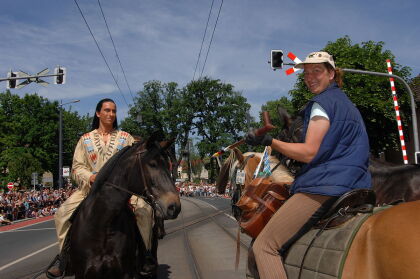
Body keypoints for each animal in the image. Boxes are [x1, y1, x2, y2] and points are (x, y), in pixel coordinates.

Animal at [67, 133, 180, 279]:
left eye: (168, 165)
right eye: (152, 164)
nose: (174, 206)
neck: (103, 224)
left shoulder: (125, 272)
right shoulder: (82, 273)